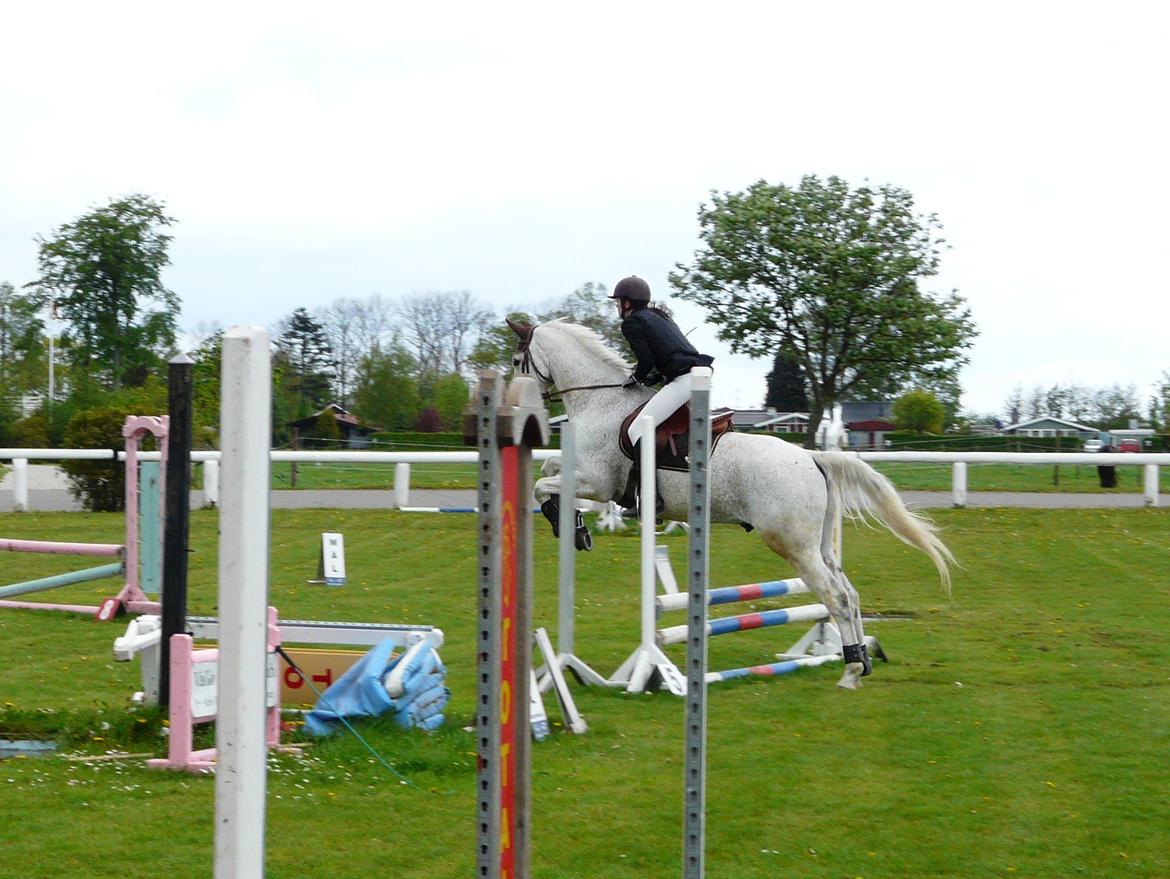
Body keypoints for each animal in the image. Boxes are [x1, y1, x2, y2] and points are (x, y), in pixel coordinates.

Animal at [507, 320, 954, 692]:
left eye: (516, 361)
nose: (519, 412)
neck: (600, 402)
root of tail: (812, 457)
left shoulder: (597, 482)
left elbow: (542, 485)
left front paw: (569, 525)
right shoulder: (581, 473)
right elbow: (548, 470)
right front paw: (573, 524)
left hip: (793, 545)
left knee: (836, 598)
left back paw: (850, 671)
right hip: (821, 545)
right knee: (850, 594)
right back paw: (860, 659)